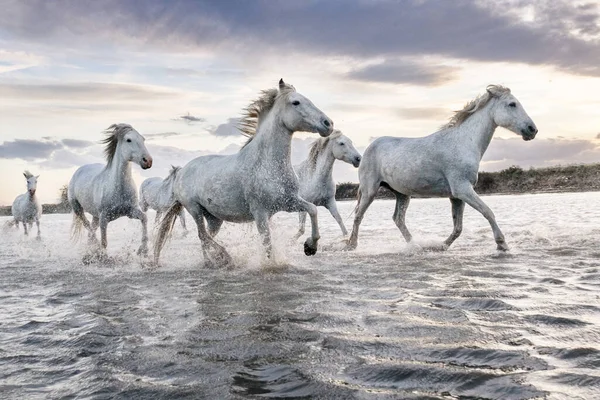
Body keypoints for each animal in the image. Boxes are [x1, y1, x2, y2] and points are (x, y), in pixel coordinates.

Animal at [68, 123, 154, 255]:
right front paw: (102, 254)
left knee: (91, 229)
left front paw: (143, 250)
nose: (147, 161)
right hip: (78, 208)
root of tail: (79, 170)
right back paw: (95, 246)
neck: (119, 188)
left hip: (95, 216)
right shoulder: (104, 218)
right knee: (87, 226)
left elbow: (144, 218)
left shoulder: (131, 211)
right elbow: (104, 242)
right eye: (128, 140)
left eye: (143, 139)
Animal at [154, 79, 332, 266]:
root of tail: (181, 171)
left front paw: (310, 247)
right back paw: (224, 257)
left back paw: (211, 262)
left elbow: (313, 209)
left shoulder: (288, 202)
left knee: (205, 237)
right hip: (194, 209)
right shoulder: (260, 212)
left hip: (214, 218)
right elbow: (267, 243)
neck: (268, 164)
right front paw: (271, 265)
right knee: (202, 234)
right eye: (296, 102)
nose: (328, 124)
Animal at [346, 86, 540, 252]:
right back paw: (352, 245)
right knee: (359, 216)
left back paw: (415, 246)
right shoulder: (462, 189)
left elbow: (458, 227)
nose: (532, 130)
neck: (464, 142)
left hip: (402, 194)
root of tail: (369, 149)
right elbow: (488, 212)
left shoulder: (457, 196)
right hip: (370, 190)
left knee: (398, 219)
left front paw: (440, 246)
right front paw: (502, 244)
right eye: (512, 104)